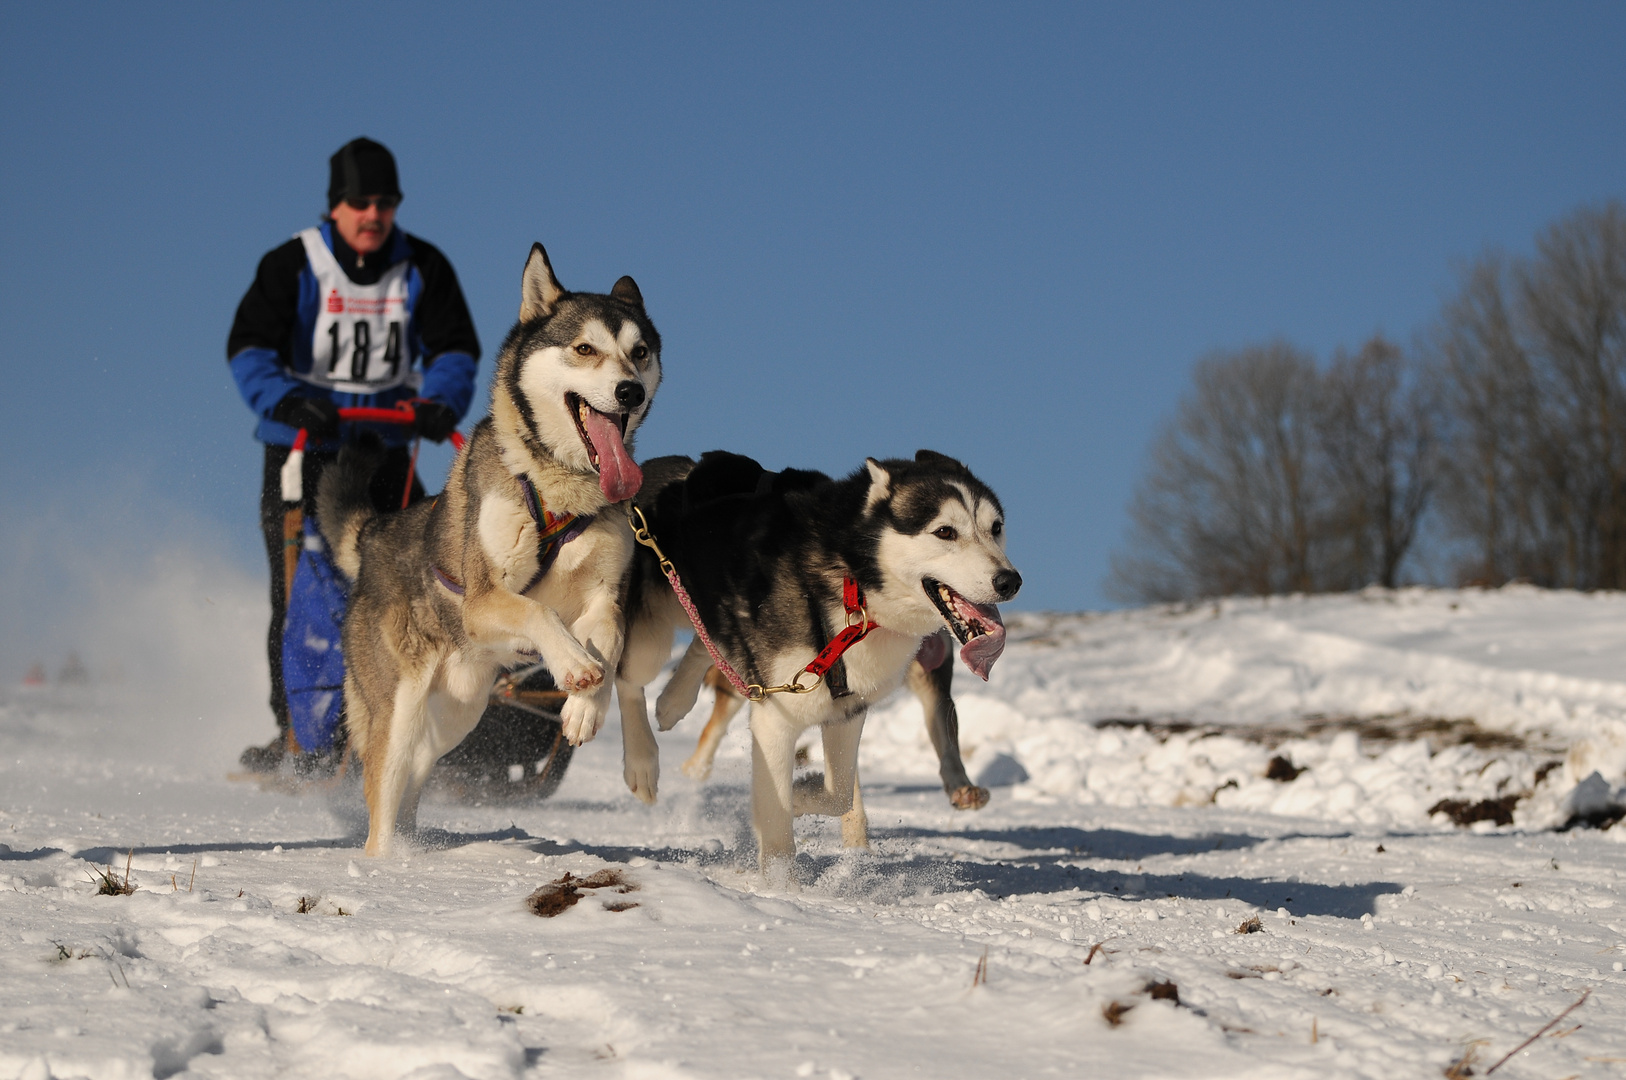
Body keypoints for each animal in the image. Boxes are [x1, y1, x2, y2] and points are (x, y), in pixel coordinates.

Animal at [318, 242, 660, 852]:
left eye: (639, 352)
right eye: (585, 348)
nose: (630, 391)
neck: (558, 489)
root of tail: (373, 535)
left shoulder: (604, 596)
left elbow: (611, 639)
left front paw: (584, 708)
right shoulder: (483, 601)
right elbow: (540, 611)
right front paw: (574, 663)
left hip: (456, 714)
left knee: (414, 783)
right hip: (399, 712)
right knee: (382, 801)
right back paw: (385, 863)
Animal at [614, 445, 1021, 878]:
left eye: (996, 527)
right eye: (944, 531)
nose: (1010, 581)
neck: (854, 590)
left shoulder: (845, 711)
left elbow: (836, 795)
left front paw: (798, 794)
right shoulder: (777, 718)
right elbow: (779, 826)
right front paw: (780, 885)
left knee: (703, 643)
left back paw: (673, 702)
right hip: (651, 637)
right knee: (628, 678)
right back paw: (641, 763)